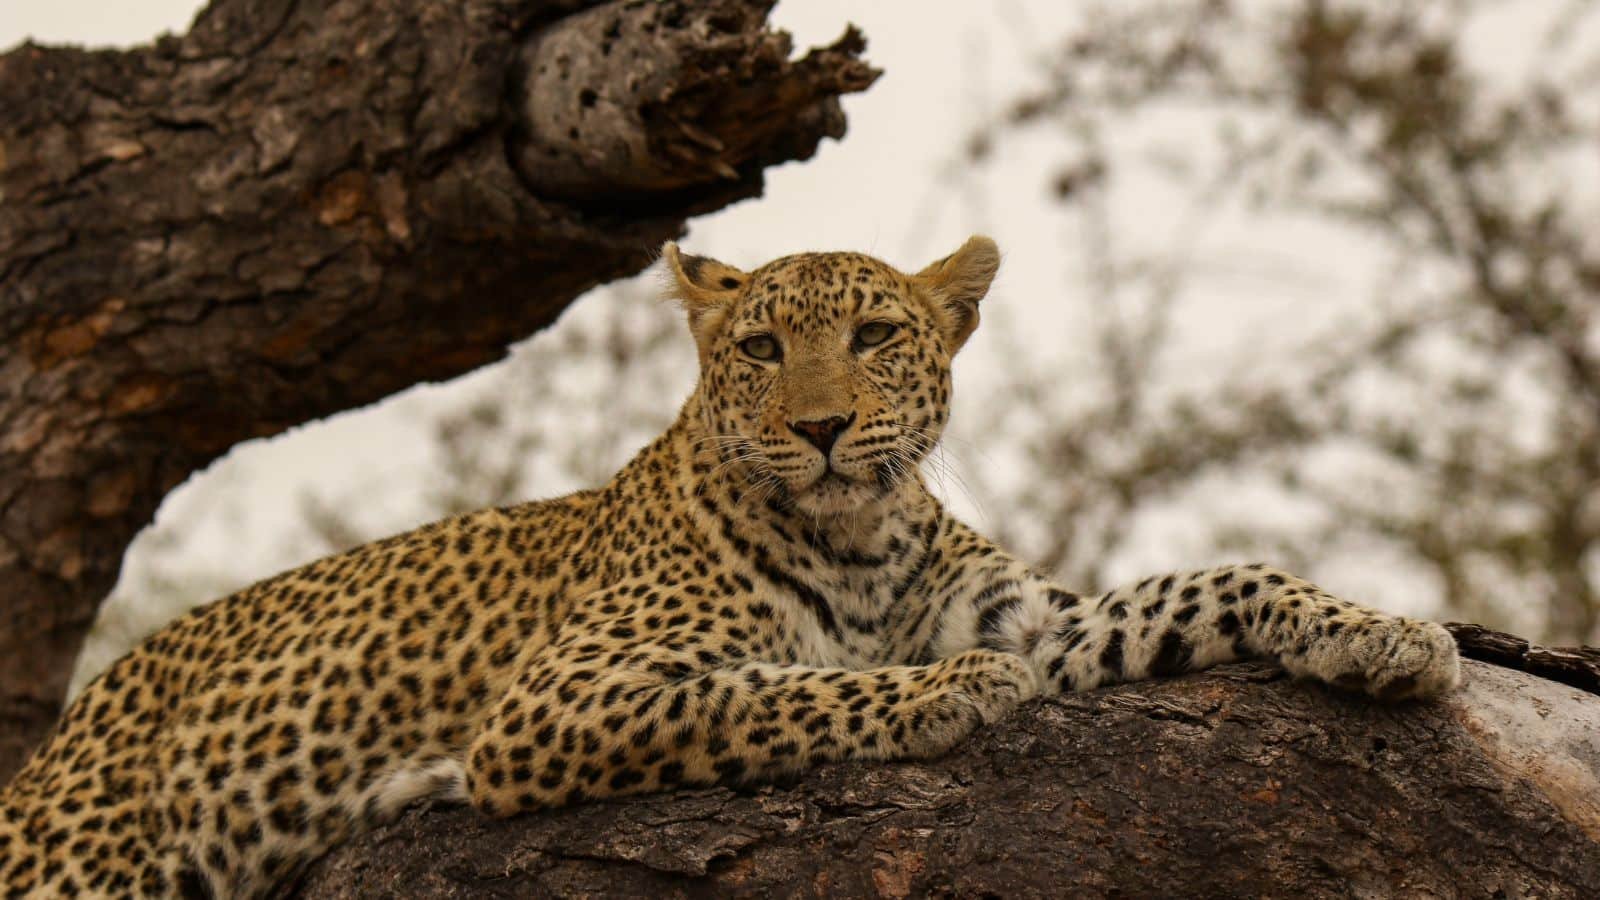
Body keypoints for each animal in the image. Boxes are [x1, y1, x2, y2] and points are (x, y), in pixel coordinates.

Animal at [0, 236, 1460, 898]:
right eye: (759, 350)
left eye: (875, 336)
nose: (816, 426)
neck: (858, 536)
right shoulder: (554, 704)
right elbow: (762, 692)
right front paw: (942, 696)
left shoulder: (1041, 618)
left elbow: (1209, 582)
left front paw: (1386, 632)